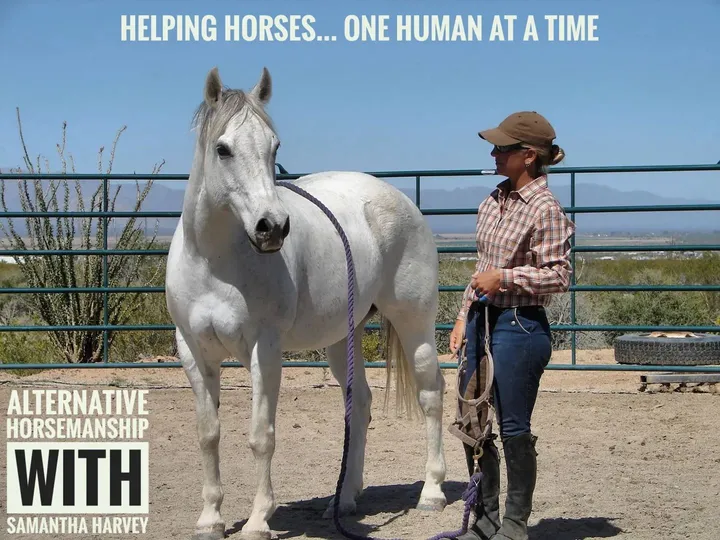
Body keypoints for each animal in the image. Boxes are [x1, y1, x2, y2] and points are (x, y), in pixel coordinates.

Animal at [164, 66, 448, 540]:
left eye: (274, 146)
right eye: (222, 149)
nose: (272, 227)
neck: (215, 262)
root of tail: (397, 199)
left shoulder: (264, 348)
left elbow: (261, 436)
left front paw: (259, 521)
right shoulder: (193, 350)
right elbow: (208, 434)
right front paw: (210, 519)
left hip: (414, 323)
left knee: (431, 393)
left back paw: (432, 492)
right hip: (341, 338)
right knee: (360, 404)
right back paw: (345, 499)